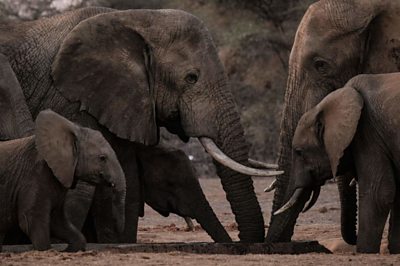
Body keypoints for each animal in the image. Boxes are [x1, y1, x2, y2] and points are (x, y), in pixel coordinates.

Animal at [0, 109, 126, 251]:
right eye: (102, 158)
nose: (119, 230)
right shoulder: (34, 175)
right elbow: (30, 221)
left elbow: (57, 221)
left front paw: (70, 250)